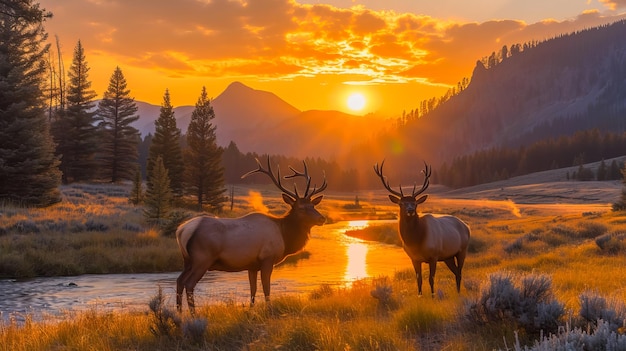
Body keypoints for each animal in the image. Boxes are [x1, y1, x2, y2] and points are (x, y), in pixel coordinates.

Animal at [173, 157, 324, 314]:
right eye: (301, 208)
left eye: (313, 206)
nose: (322, 218)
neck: (284, 236)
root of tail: (182, 230)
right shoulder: (267, 258)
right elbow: (266, 288)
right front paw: (269, 310)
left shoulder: (252, 265)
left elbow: (253, 289)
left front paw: (251, 310)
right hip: (202, 258)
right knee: (189, 283)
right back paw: (193, 314)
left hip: (187, 260)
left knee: (179, 280)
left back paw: (179, 312)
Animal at [370, 161, 468, 298]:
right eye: (401, 203)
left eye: (415, 203)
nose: (410, 210)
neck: (416, 241)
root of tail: (467, 226)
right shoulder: (414, 258)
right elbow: (419, 279)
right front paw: (420, 296)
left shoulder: (434, 256)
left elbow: (431, 279)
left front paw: (433, 296)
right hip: (448, 256)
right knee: (456, 272)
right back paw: (457, 292)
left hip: (462, 250)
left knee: (459, 272)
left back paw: (459, 293)